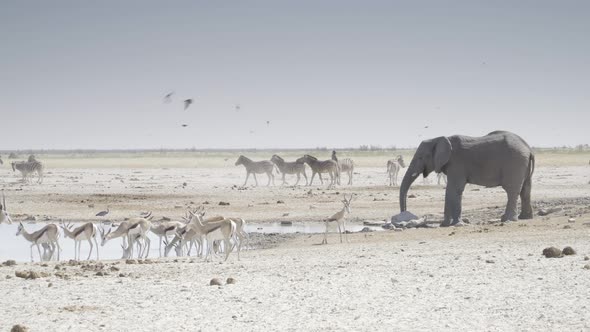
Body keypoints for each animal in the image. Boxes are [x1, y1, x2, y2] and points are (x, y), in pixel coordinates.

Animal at [402, 130, 536, 226]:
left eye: (421, 157)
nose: (404, 213)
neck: (439, 138)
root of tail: (529, 149)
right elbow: (451, 190)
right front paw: (445, 224)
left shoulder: (457, 163)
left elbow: (454, 189)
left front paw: (455, 224)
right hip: (522, 164)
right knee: (525, 190)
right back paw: (524, 218)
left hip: (514, 162)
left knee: (511, 190)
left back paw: (508, 220)